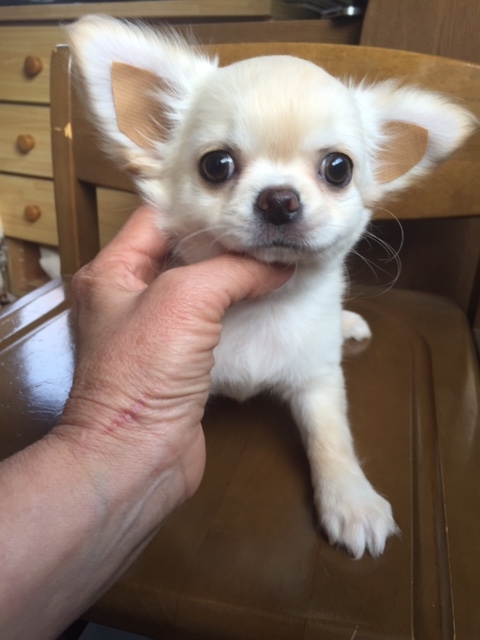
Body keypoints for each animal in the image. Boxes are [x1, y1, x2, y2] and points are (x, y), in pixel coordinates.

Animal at [67, 15, 476, 558]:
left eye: (338, 168)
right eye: (216, 165)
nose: (279, 199)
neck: (264, 304)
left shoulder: (319, 380)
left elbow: (331, 438)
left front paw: (351, 499)